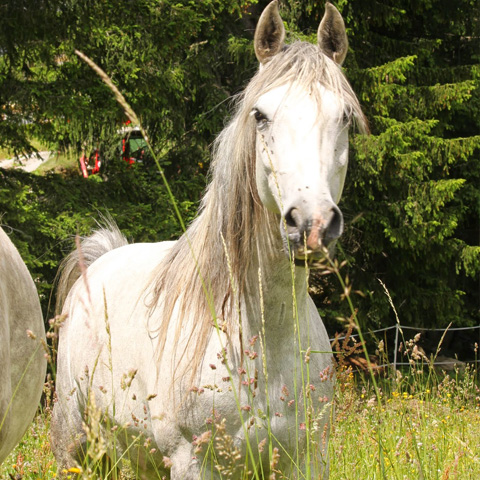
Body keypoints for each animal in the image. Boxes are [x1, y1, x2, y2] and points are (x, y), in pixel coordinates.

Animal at [52, 1, 366, 478]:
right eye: (260, 115)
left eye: (345, 116)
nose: (311, 224)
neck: (259, 337)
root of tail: (103, 259)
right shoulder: (193, 462)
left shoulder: (307, 459)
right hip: (80, 450)